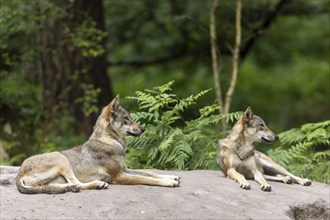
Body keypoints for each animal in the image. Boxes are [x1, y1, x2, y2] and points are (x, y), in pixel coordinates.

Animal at [15, 96, 179, 194]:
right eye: (126, 118)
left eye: (130, 118)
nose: (143, 129)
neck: (110, 141)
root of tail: (19, 174)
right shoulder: (119, 176)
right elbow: (148, 179)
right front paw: (169, 183)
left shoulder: (125, 169)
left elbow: (149, 173)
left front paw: (172, 177)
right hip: (61, 158)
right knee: (77, 182)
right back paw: (97, 184)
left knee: (68, 185)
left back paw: (73, 187)